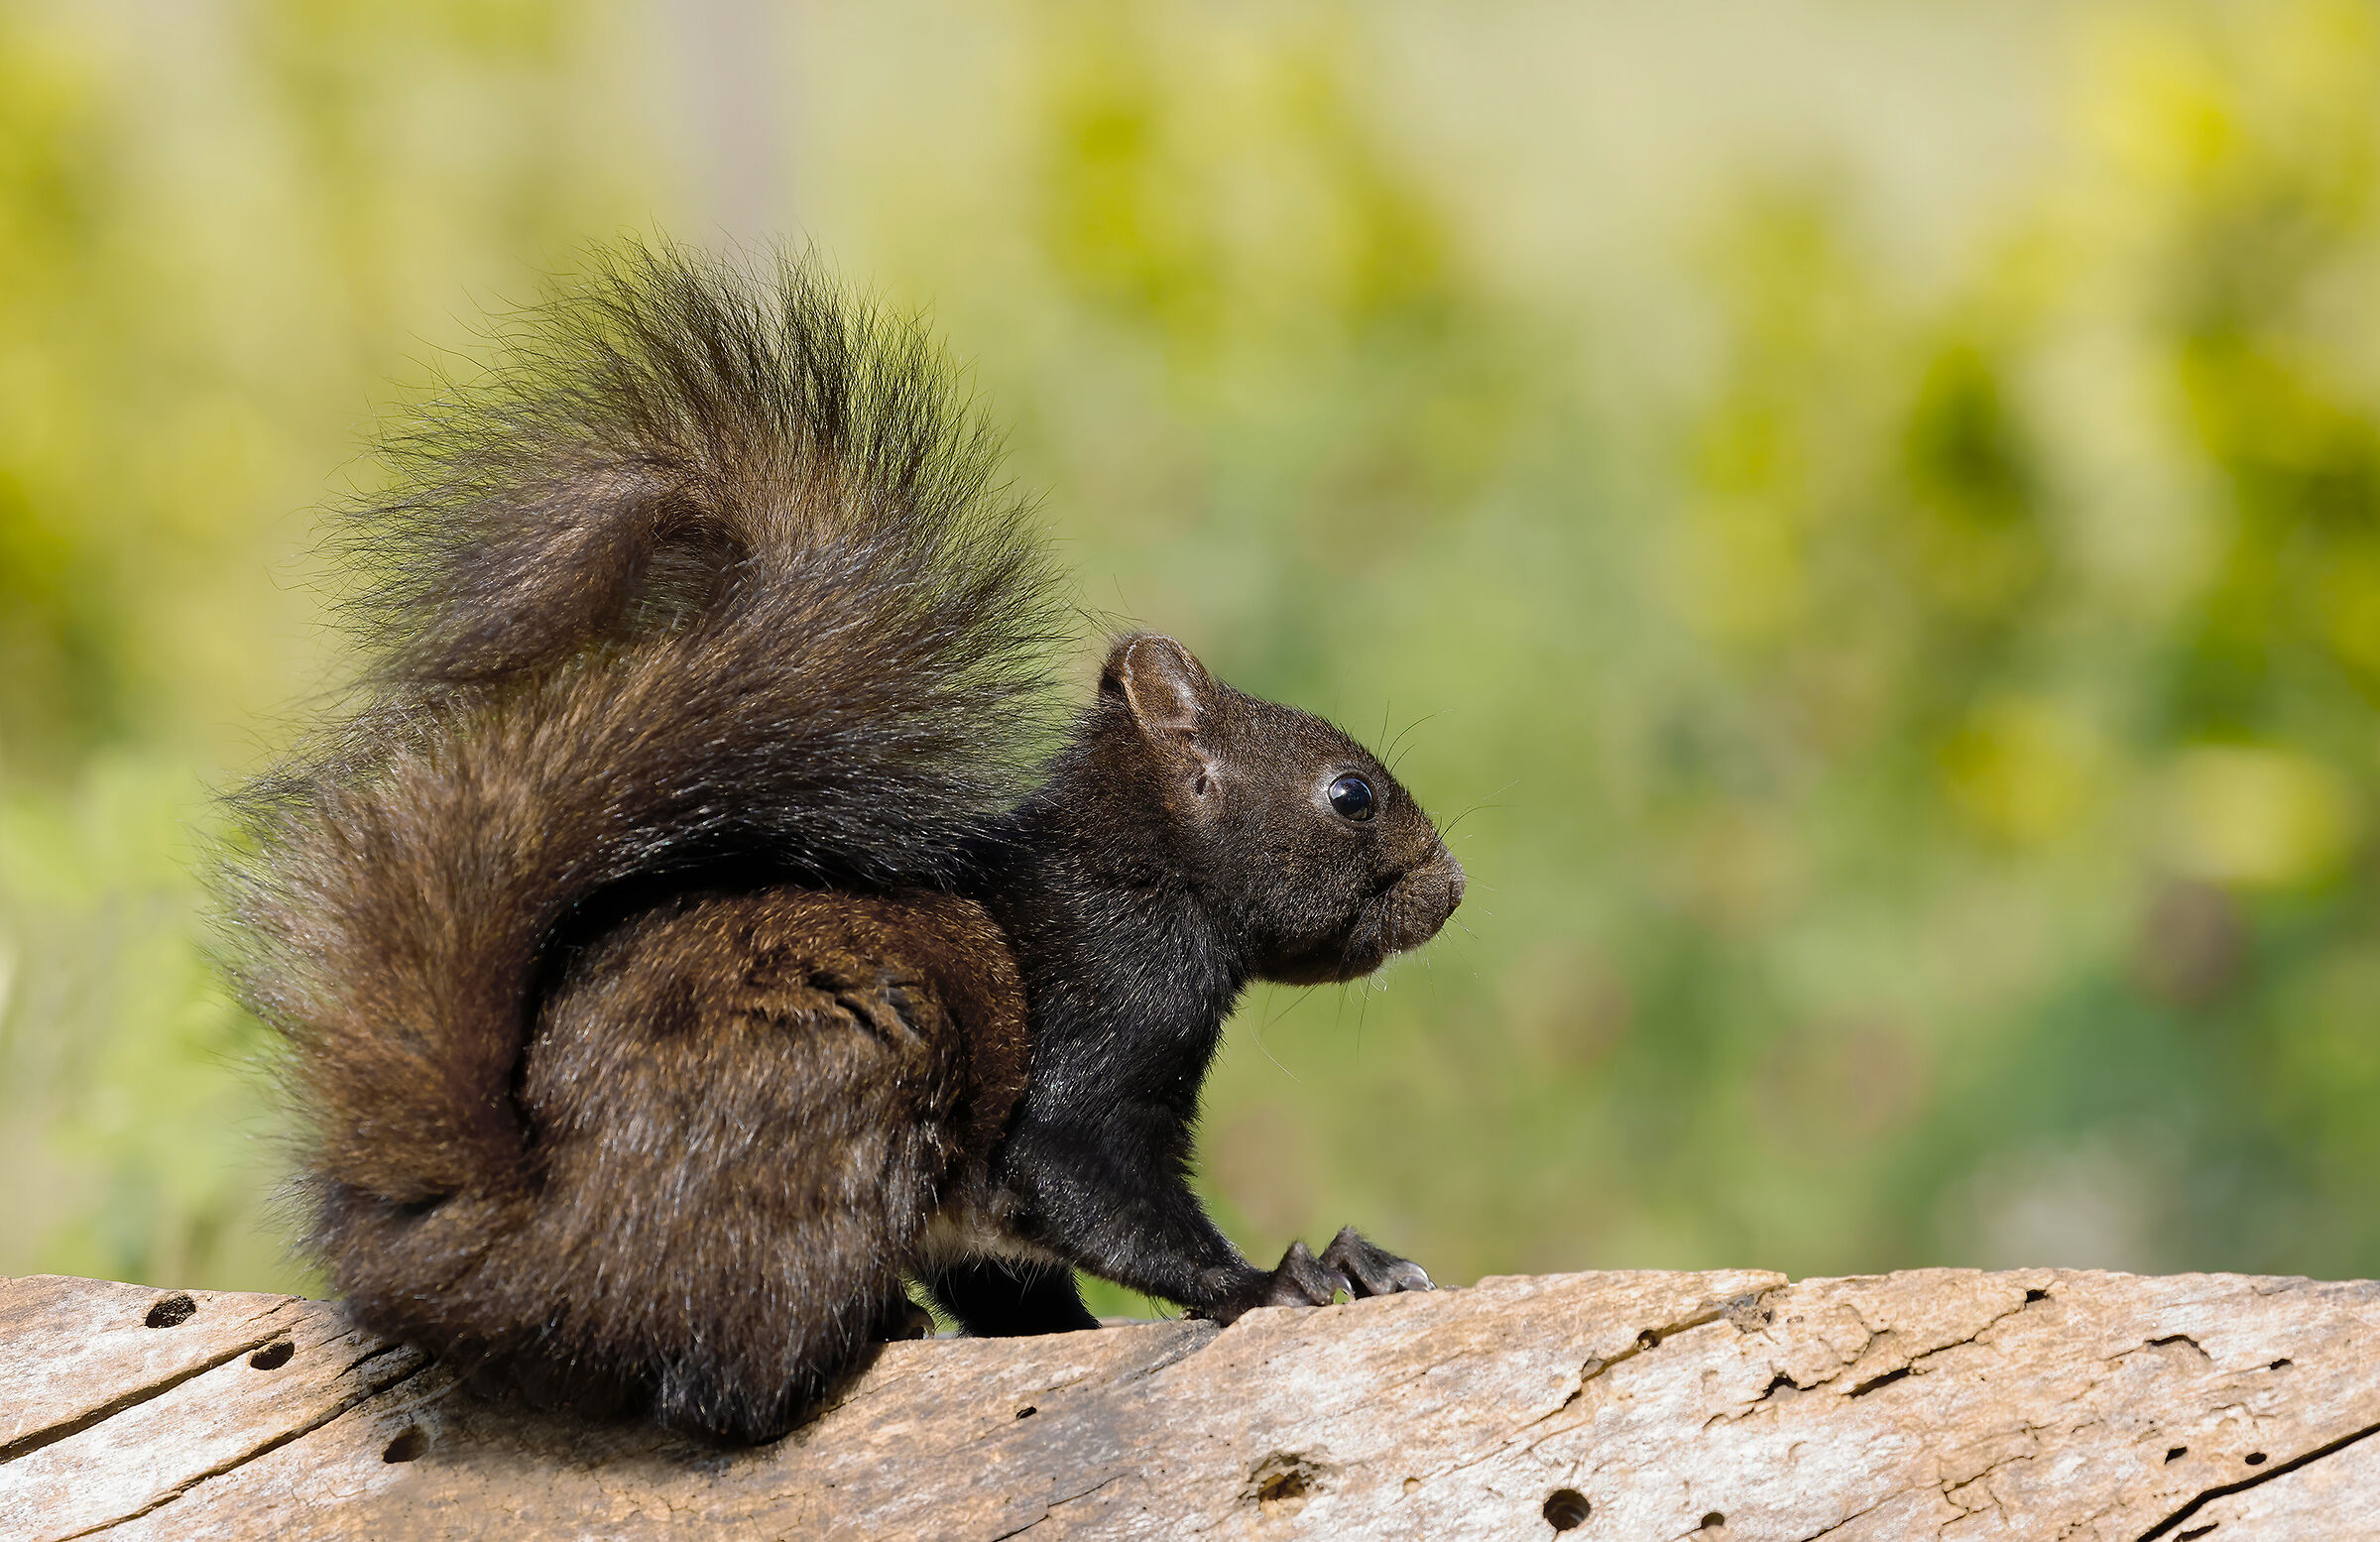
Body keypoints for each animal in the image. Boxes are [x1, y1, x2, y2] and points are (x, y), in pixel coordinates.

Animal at [220, 241, 1466, 1445]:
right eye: (1350, 794)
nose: (1452, 887)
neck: (1137, 877)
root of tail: (515, 1244)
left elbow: (1022, 1297)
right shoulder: (1098, 1036)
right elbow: (1090, 1192)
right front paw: (1273, 1281)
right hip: (838, 1094)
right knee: (723, 1393)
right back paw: (871, 1331)